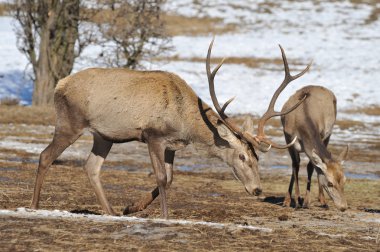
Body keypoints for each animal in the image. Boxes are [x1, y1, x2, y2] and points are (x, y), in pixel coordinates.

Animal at [29, 38, 308, 218]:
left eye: (257, 157)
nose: (258, 189)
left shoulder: (172, 146)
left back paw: (111, 211)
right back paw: (34, 205)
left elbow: (171, 179)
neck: (185, 122)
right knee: (45, 155)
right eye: (241, 156)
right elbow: (162, 178)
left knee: (91, 167)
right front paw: (165, 216)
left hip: (103, 135)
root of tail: (59, 85)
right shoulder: (153, 136)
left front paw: (132, 207)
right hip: (70, 121)